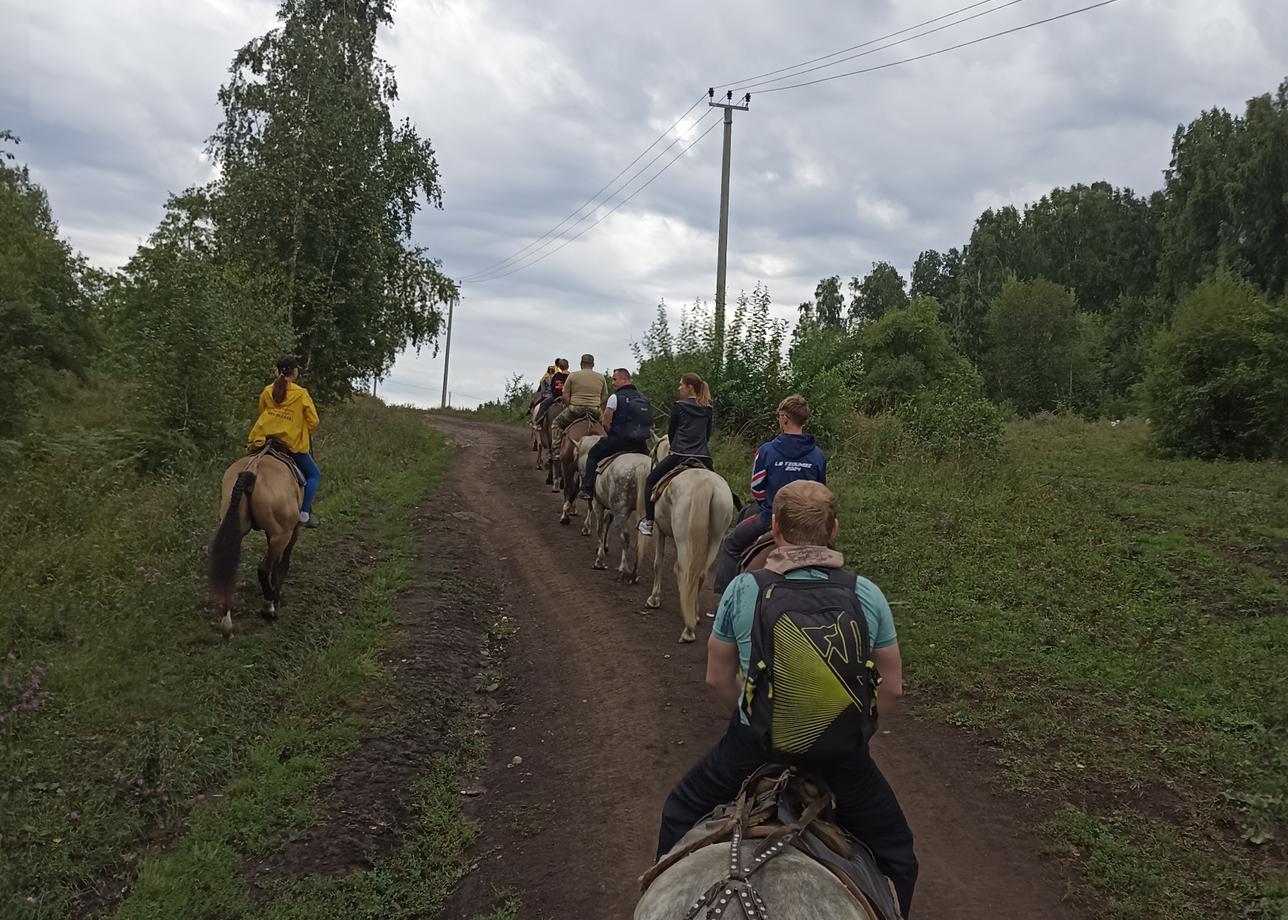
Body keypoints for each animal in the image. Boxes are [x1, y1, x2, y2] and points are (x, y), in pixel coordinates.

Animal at [208, 450, 303, 639]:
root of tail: (252, 471)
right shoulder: (291, 530)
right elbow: (282, 564)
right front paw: (276, 597)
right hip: (282, 533)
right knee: (264, 568)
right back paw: (269, 608)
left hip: (235, 528)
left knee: (227, 568)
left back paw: (227, 624)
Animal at [577, 438, 649, 579]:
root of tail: (641, 466)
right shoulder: (610, 508)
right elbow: (607, 522)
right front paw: (604, 547)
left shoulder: (598, 504)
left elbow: (600, 529)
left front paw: (599, 561)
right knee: (639, 541)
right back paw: (635, 573)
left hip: (621, 511)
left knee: (625, 536)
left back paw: (623, 569)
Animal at [644, 435, 736, 639]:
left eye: (652, 453)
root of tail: (706, 485)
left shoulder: (660, 530)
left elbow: (658, 563)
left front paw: (654, 599)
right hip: (715, 539)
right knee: (699, 574)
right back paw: (694, 615)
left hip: (684, 538)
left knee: (682, 570)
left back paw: (688, 627)